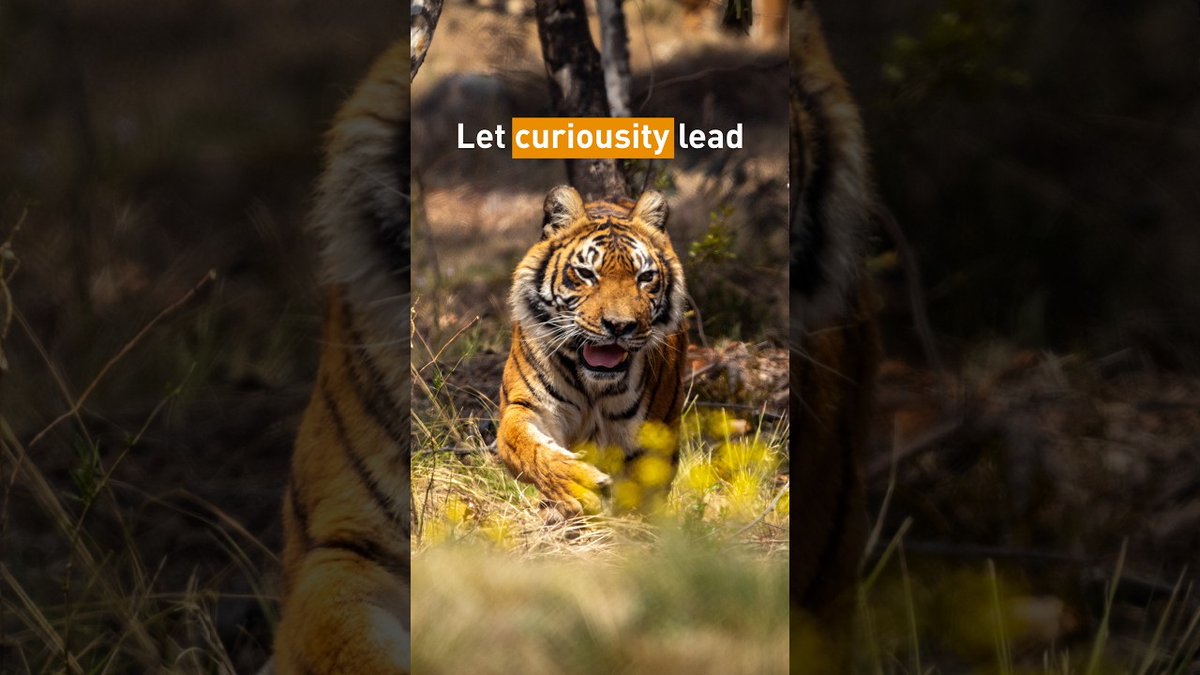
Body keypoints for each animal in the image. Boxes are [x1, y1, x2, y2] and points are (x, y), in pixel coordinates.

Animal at [496, 186, 688, 518]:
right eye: (586, 273)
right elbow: (525, 446)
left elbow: (643, 494)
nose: (619, 325)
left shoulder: (653, 436)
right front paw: (576, 485)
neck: (594, 387)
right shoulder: (526, 405)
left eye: (645, 277)